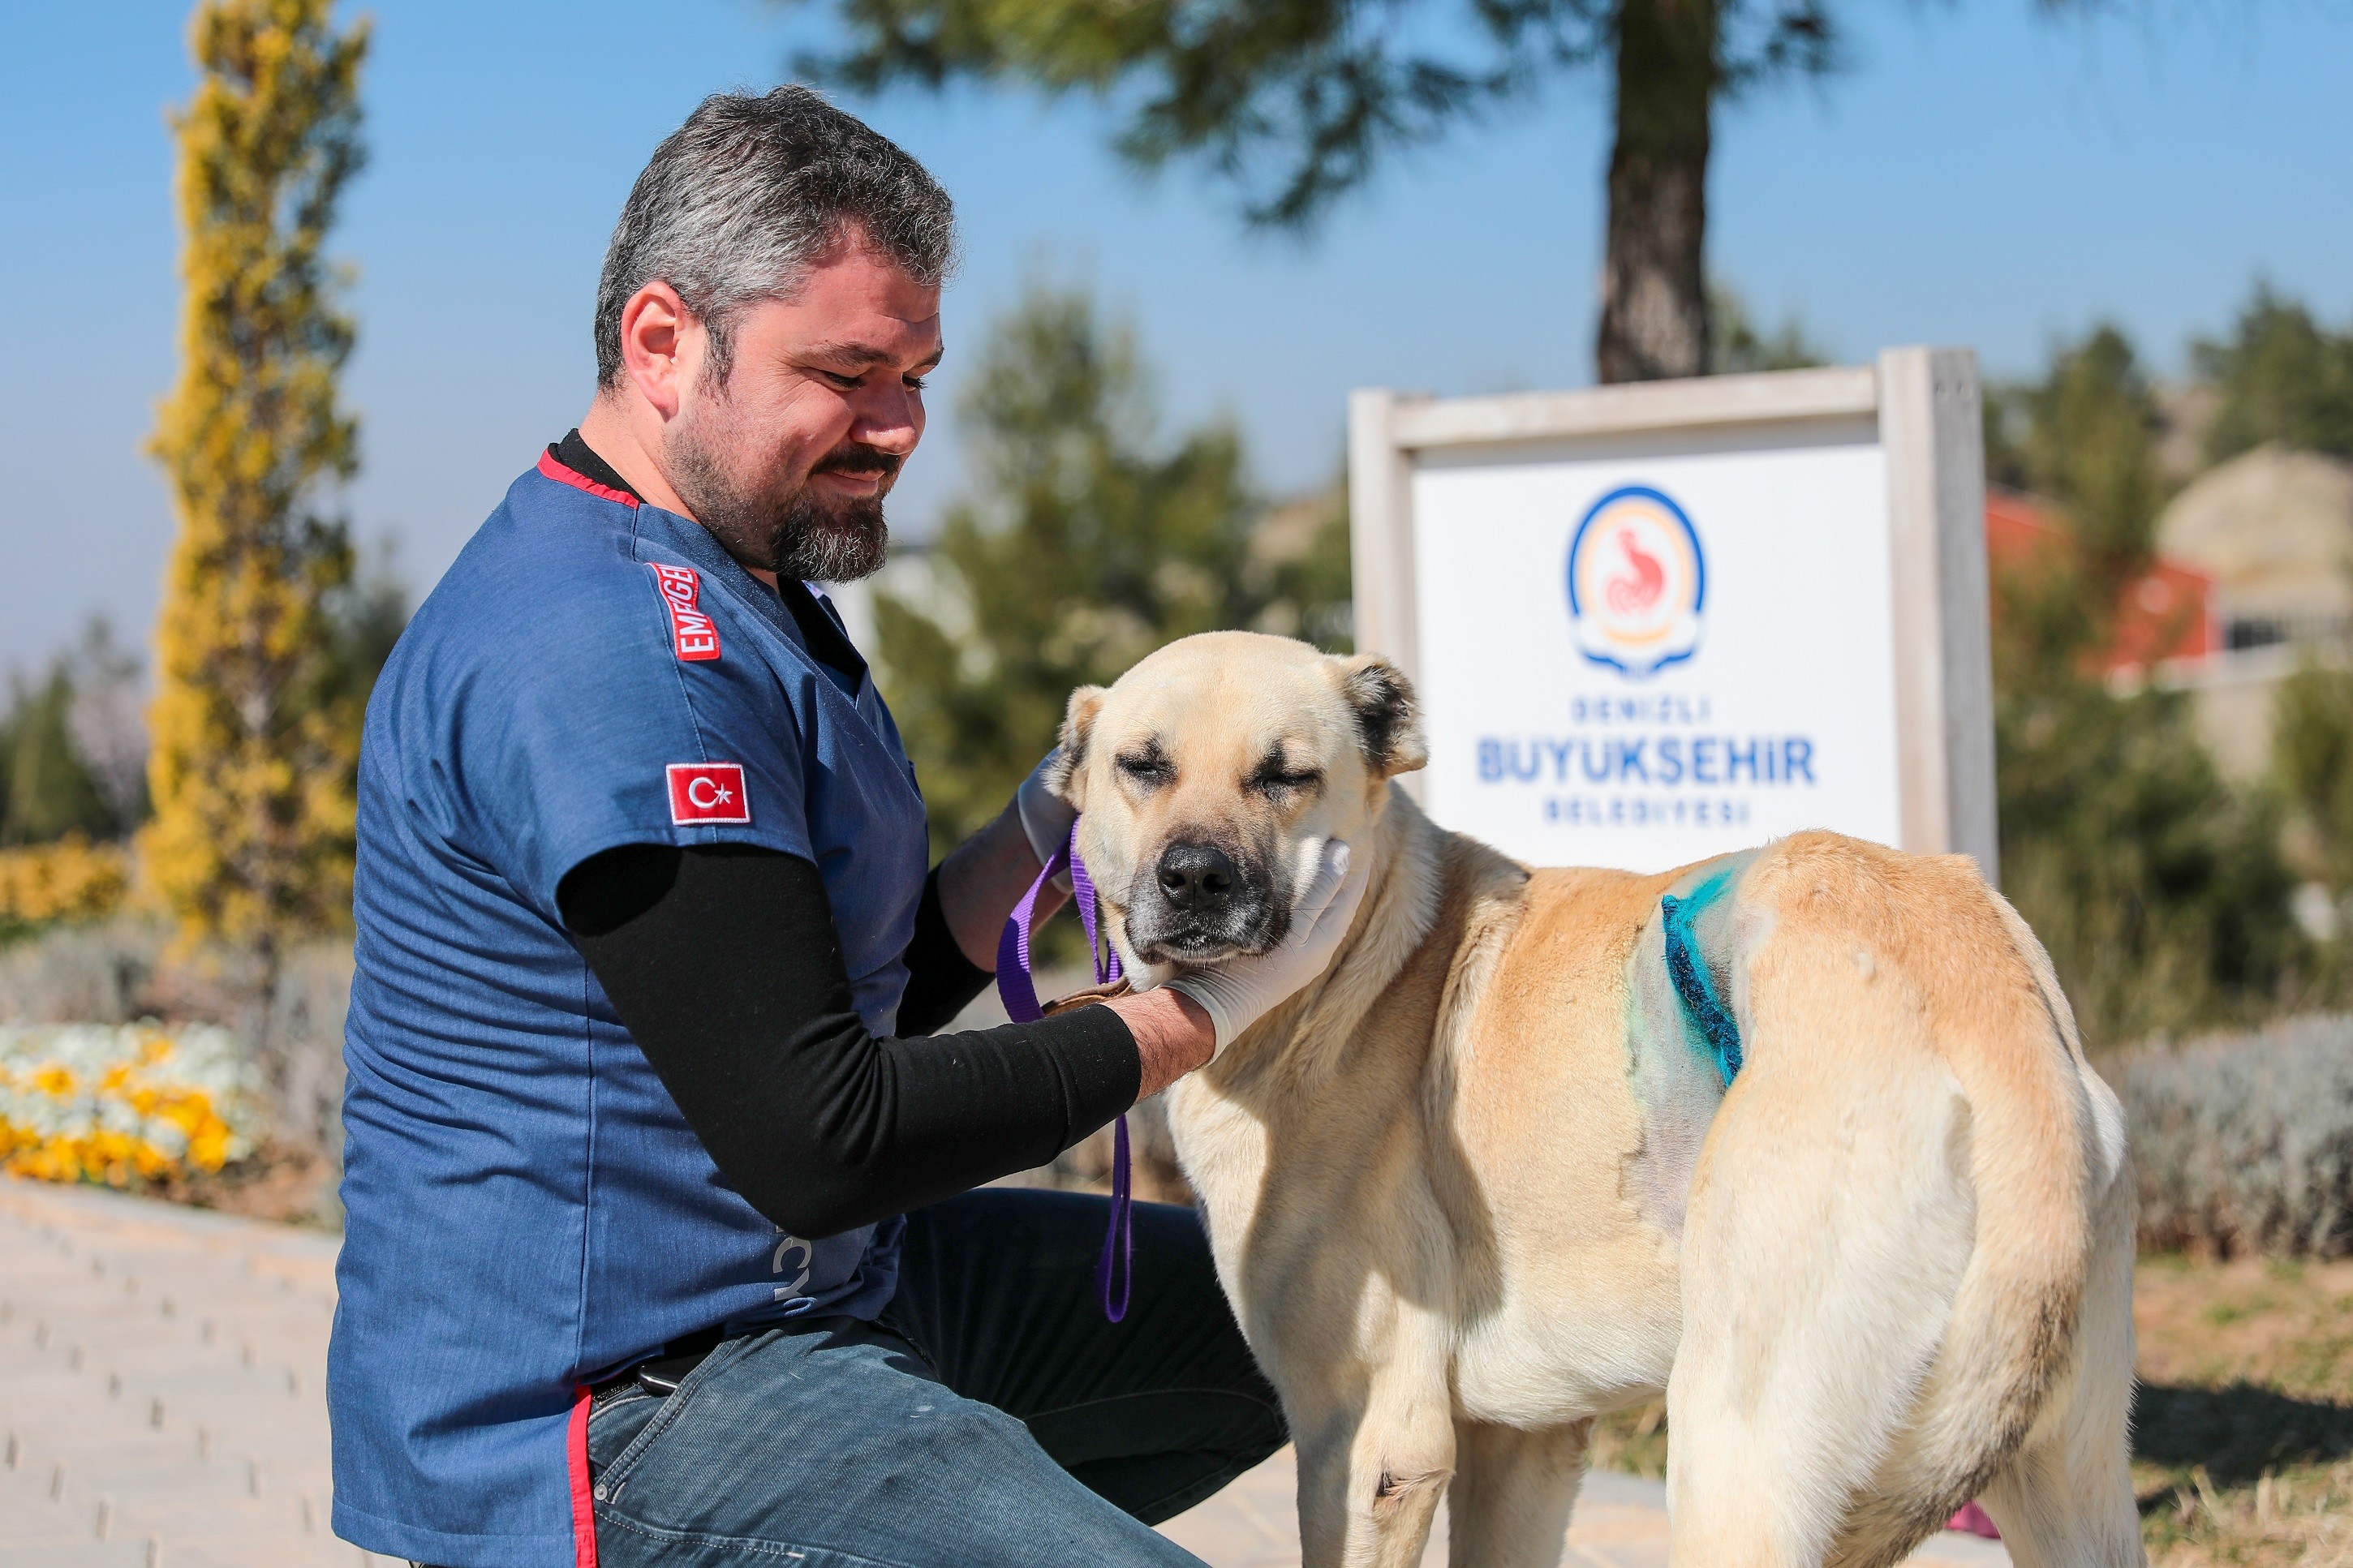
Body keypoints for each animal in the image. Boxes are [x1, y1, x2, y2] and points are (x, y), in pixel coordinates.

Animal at [1059, 629, 2145, 1561]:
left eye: (1285, 776)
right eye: (1142, 765)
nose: (1194, 878)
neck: (1363, 962)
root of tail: (1992, 1011)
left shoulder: (1367, 1443)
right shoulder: (1523, 1445)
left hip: (1731, 1457)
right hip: (2070, 1484)